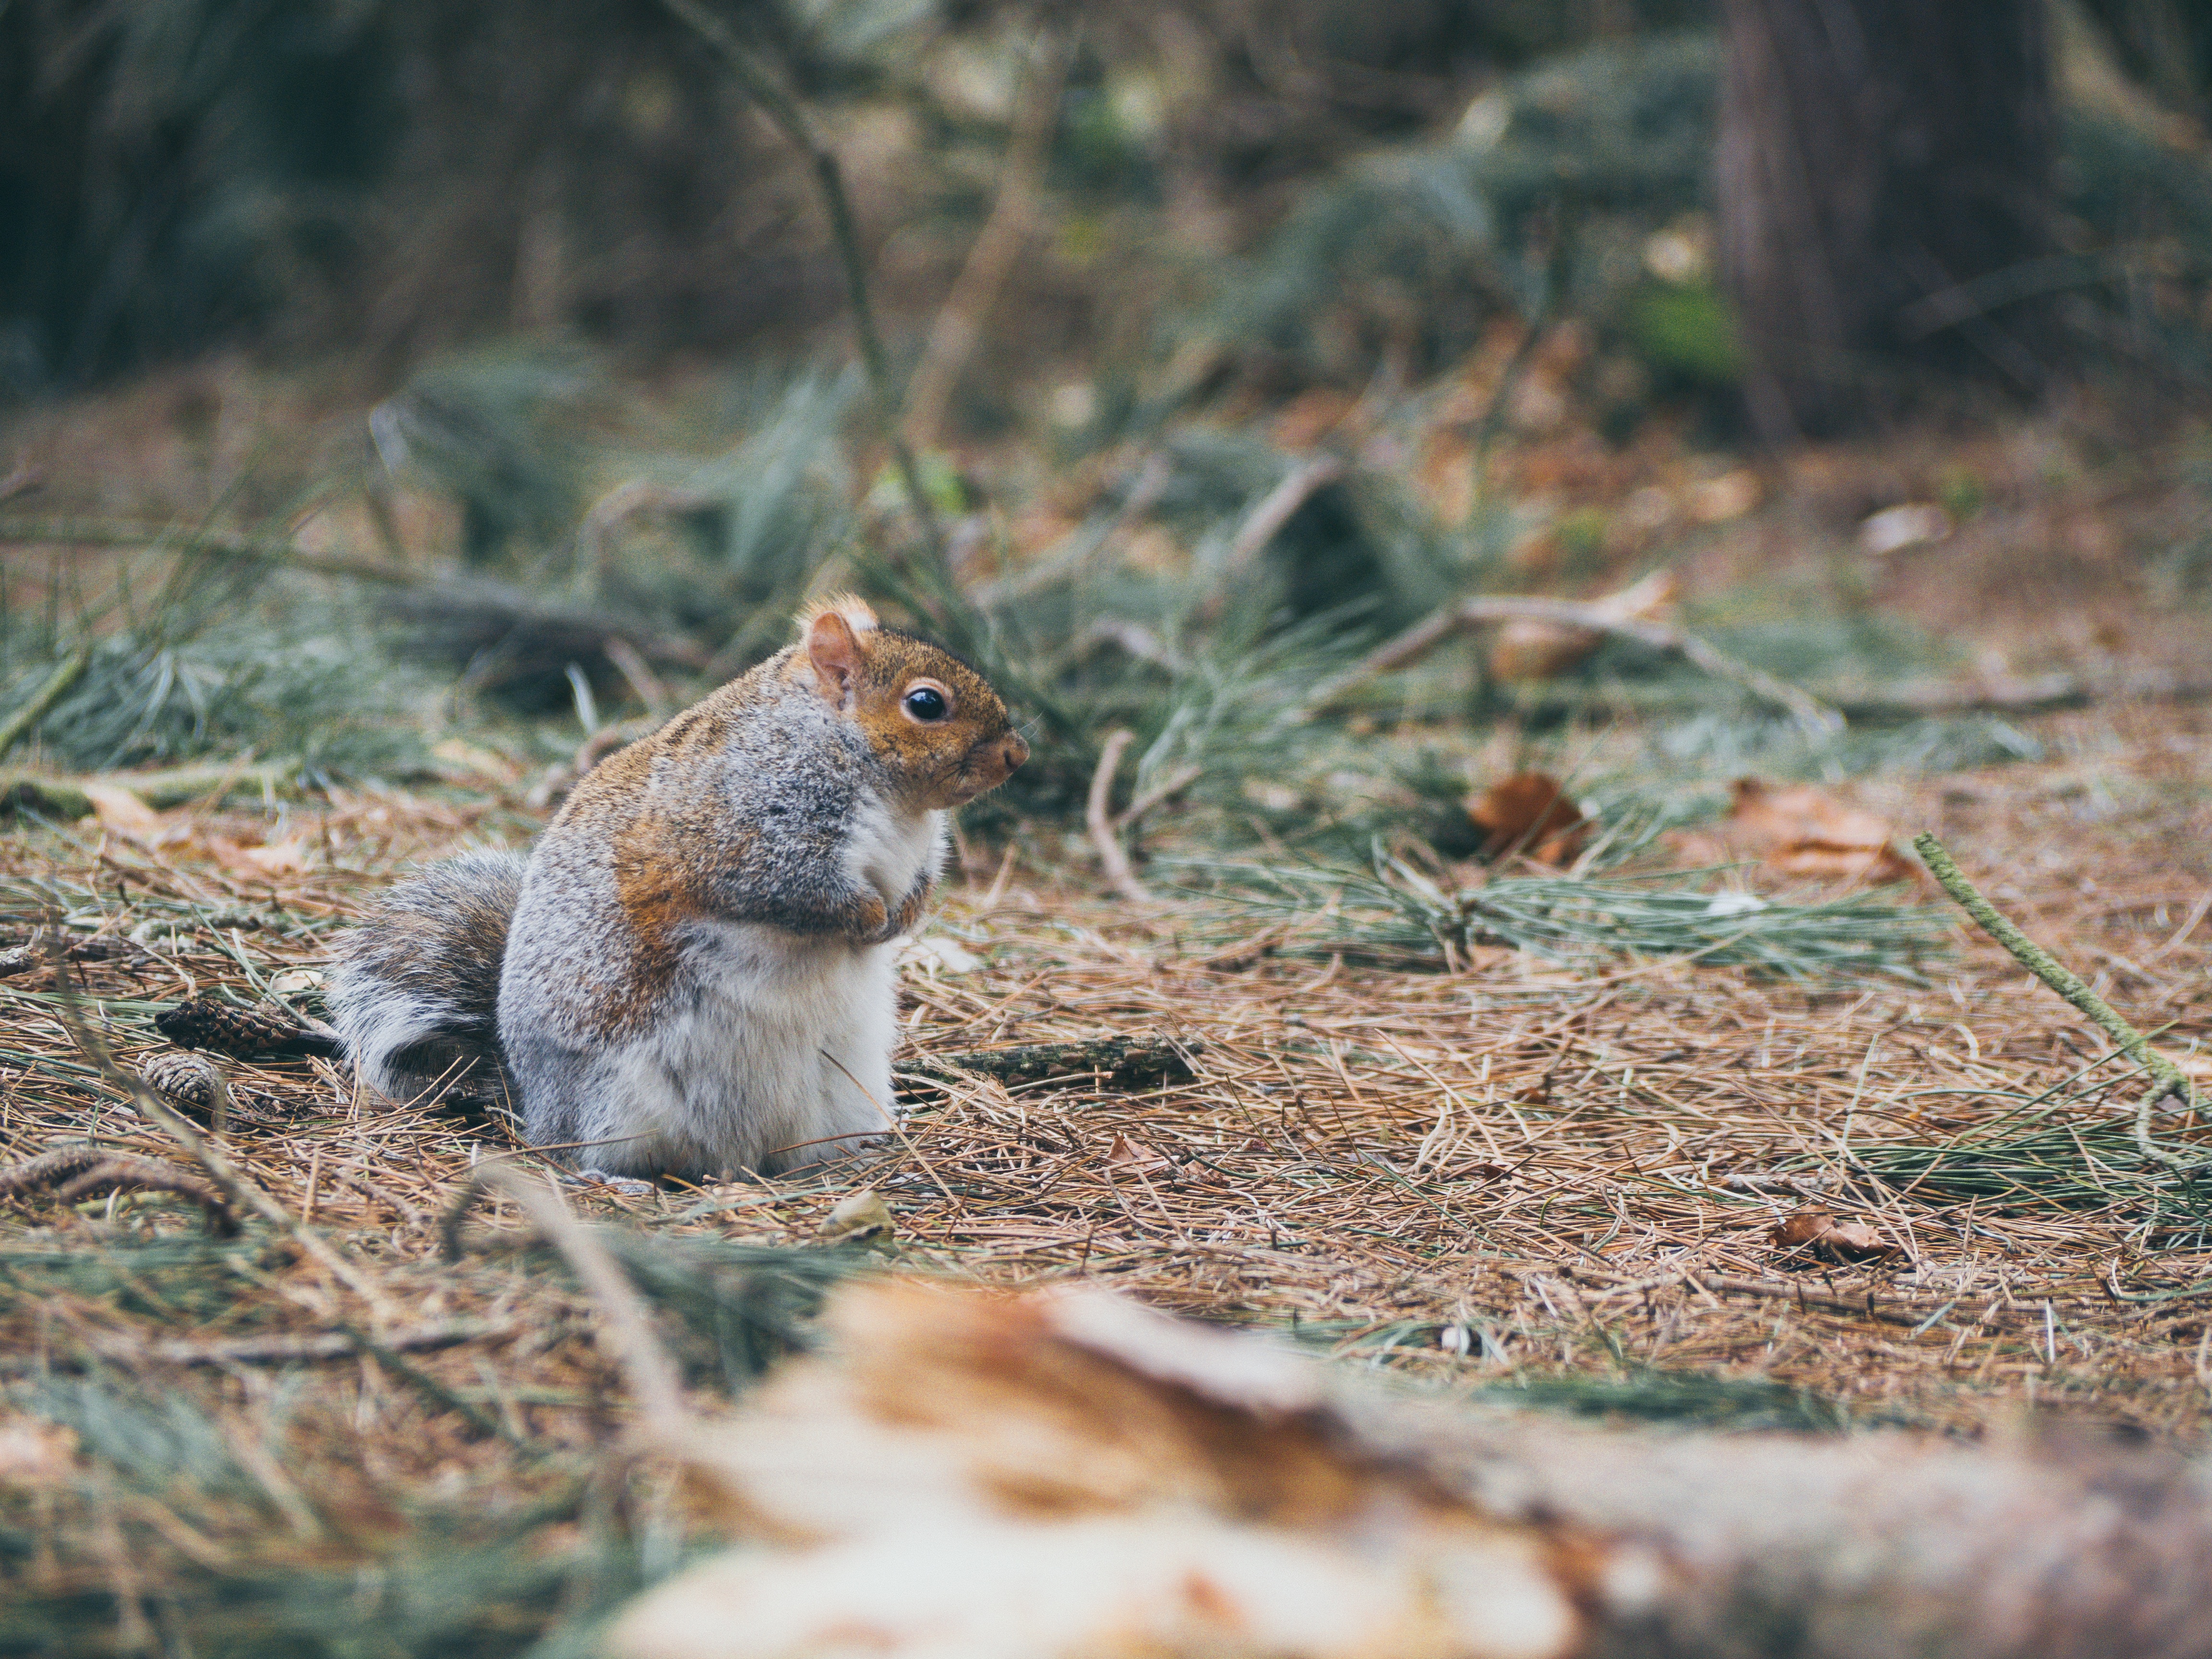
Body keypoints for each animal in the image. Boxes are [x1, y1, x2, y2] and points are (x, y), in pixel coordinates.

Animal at [327, 597, 1026, 1185]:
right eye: (927, 704)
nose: (1018, 755)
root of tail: (531, 1101)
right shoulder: (738, 836)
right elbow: (795, 891)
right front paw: (867, 915)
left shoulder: (920, 853)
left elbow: (920, 887)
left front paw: (901, 916)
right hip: (617, 1099)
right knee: (586, 1153)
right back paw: (615, 1178)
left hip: (847, 1089)